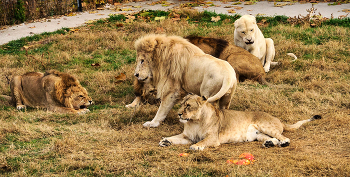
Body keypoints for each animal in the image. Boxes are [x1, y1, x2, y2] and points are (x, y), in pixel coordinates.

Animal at [160, 94, 322, 151]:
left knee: (284, 137)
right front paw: (165, 141)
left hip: (266, 126)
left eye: (188, 106)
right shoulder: (187, 137)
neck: (194, 121)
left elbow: (202, 141)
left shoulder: (213, 138)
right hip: (259, 135)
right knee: (273, 138)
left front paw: (196, 147)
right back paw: (269, 144)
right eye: (181, 104)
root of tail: (279, 120)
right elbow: (175, 138)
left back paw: (283, 143)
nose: (179, 113)